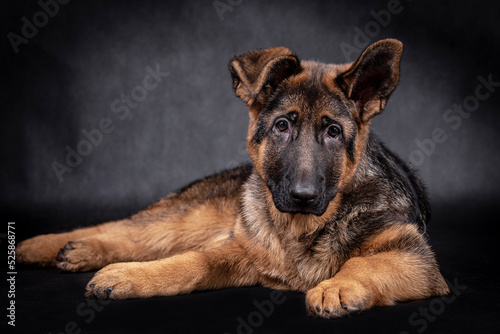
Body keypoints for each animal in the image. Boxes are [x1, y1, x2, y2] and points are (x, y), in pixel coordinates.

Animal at [16, 39, 450, 318]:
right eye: (281, 126)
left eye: (333, 132)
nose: (304, 196)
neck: (301, 229)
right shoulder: (239, 251)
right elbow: (187, 262)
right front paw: (131, 275)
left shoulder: (415, 259)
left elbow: (363, 264)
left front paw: (335, 286)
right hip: (192, 217)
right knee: (131, 230)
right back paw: (52, 246)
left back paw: (77, 251)